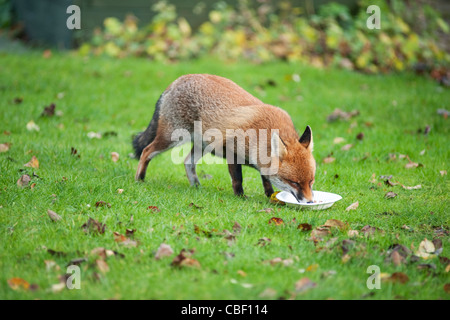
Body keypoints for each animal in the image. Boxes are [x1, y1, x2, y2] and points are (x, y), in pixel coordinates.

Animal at [134, 74, 316, 201]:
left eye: (311, 181)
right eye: (294, 182)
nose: (309, 202)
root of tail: (177, 81)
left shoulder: (262, 162)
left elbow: (266, 180)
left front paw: (270, 195)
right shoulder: (232, 153)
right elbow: (238, 180)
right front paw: (241, 197)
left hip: (202, 146)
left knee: (187, 162)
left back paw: (196, 187)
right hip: (171, 139)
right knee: (146, 151)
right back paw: (139, 179)